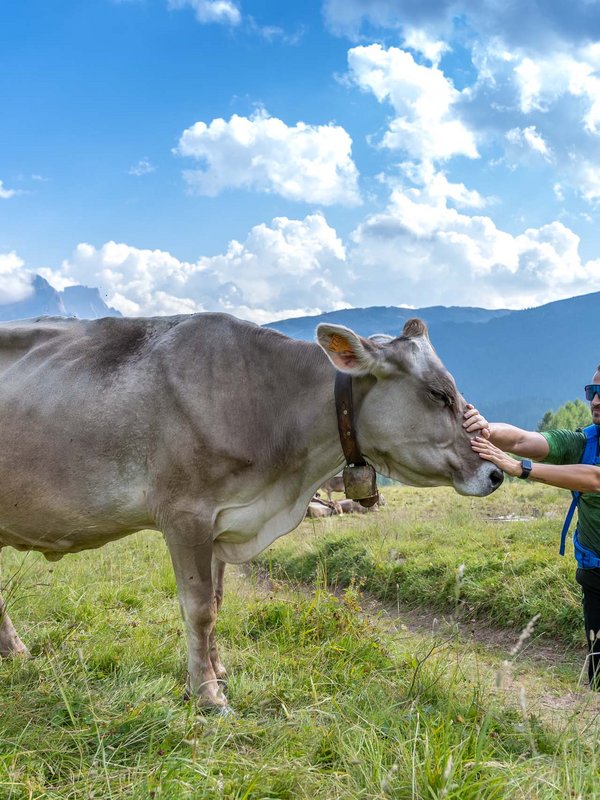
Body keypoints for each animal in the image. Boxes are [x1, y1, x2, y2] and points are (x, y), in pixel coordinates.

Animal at [0, 316, 504, 708]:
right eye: (438, 394)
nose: (496, 473)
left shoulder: (224, 521)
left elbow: (218, 602)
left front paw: (218, 671)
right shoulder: (185, 515)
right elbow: (199, 608)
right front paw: (206, 694)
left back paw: (15, 652)